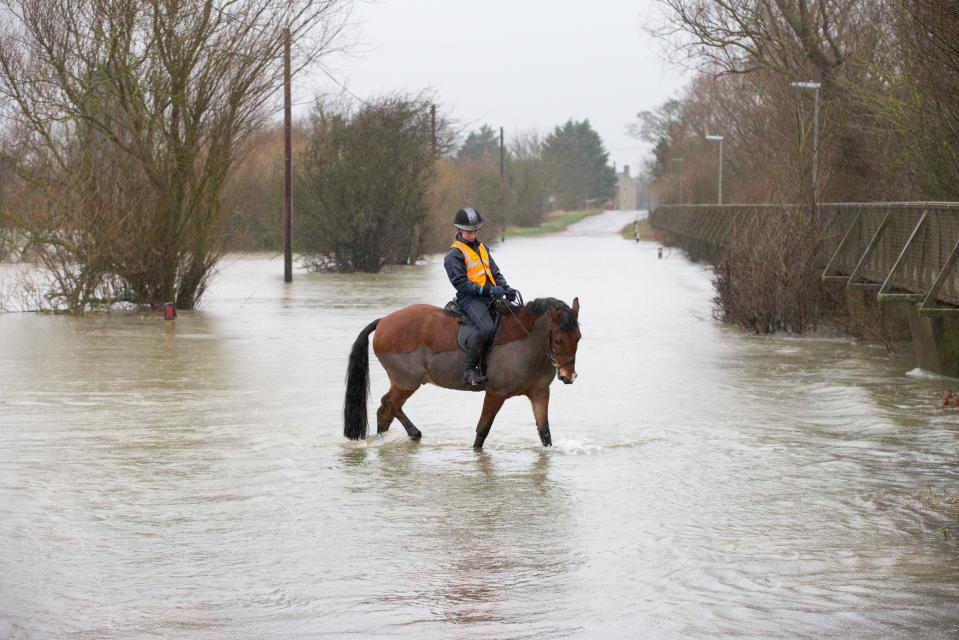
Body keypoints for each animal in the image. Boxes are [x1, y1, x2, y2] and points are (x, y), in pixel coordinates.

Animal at [346, 298, 584, 448]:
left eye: (578, 338)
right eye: (558, 339)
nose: (568, 376)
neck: (528, 342)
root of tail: (384, 321)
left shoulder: (539, 393)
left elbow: (544, 432)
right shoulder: (495, 393)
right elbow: (483, 429)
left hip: (404, 384)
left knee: (385, 410)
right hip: (406, 381)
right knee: (388, 404)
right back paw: (414, 433)